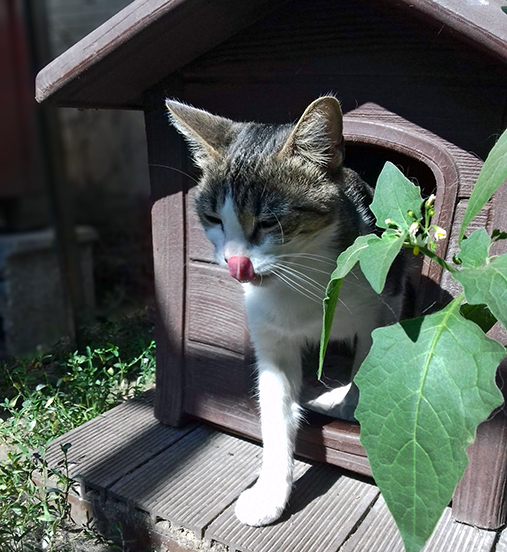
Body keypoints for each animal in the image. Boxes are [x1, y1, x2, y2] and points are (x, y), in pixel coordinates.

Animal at [169, 97, 406, 528]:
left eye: (268, 222)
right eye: (213, 219)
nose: (236, 264)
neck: (302, 280)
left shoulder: (384, 299)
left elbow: (368, 362)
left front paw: (351, 404)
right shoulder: (270, 335)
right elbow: (275, 410)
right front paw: (270, 493)